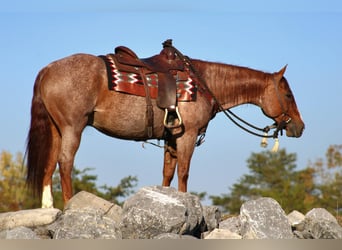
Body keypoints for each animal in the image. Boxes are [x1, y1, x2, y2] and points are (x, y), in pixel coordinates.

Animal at [26, 43, 304, 209]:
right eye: (288, 95)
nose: (299, 127)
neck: (204, 83)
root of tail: (47, 70)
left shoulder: (171, 138)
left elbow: (167, 174)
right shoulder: (187, 136)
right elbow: (183, 172)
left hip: (56, 129)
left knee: (49, 164)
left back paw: (48, 208)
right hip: (72, 127)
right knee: (65, 162)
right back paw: (69, 204)